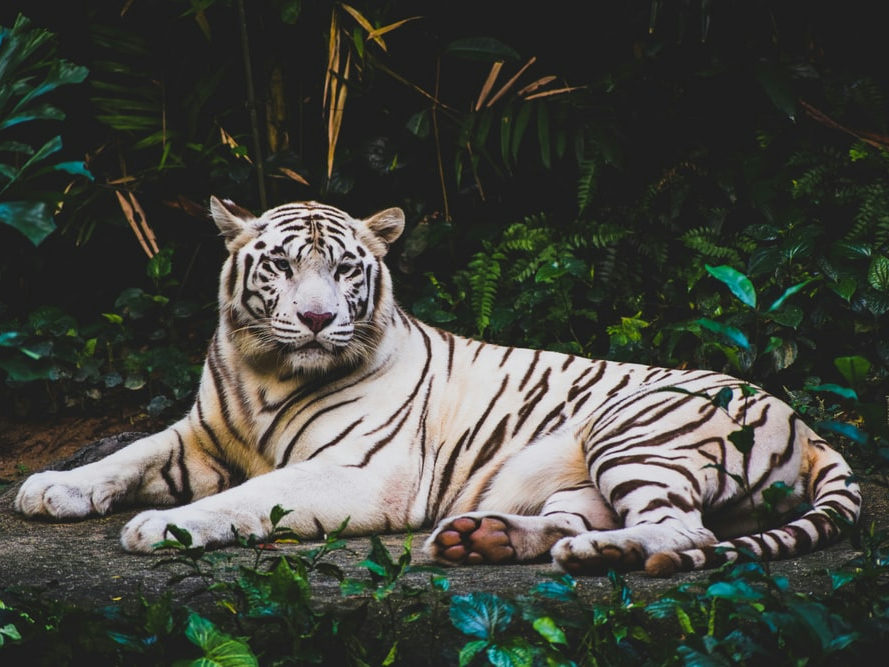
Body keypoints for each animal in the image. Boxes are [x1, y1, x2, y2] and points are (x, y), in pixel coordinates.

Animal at [14, 197, 861, 577]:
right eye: (281, 266)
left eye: (344, 269)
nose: (317, 318)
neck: (266, 371)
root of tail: (808, 425)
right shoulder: (200, 433)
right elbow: (127, 452)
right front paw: (51, 486)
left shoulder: (359, 471)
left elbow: (249, 495)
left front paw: (162, 526)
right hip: (581, 474)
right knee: (584, 518)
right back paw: (482, 537)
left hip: (633, 429)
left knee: (686, 531)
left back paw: (598, 553)